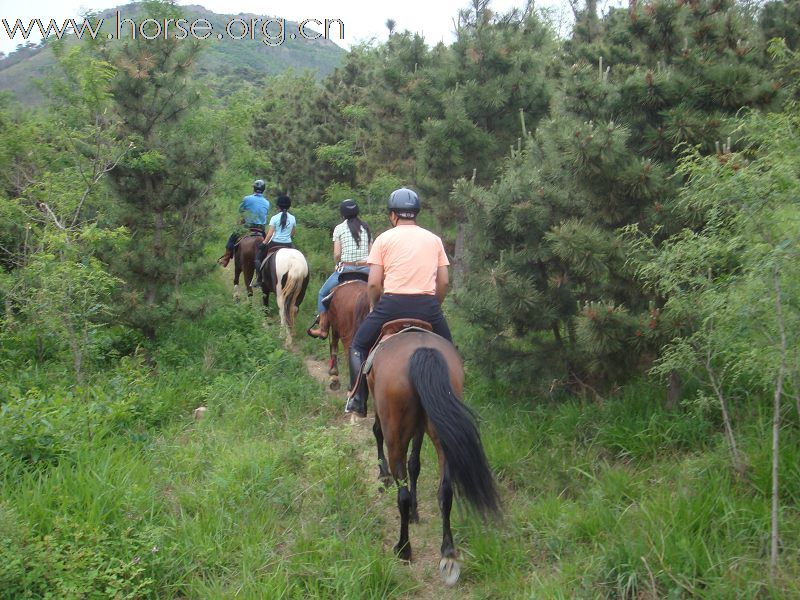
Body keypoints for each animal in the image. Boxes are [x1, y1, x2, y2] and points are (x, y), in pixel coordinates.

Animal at [368, 326, 500, 584]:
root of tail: (424, 351)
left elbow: (377, 433)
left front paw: (383, 476)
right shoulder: (420, 427)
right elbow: (415, 464)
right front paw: (416, 512)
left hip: (395, 436)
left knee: (402, 493)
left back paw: (403, 549)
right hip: (442, 435)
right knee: (446, 491)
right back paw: (448, 553)